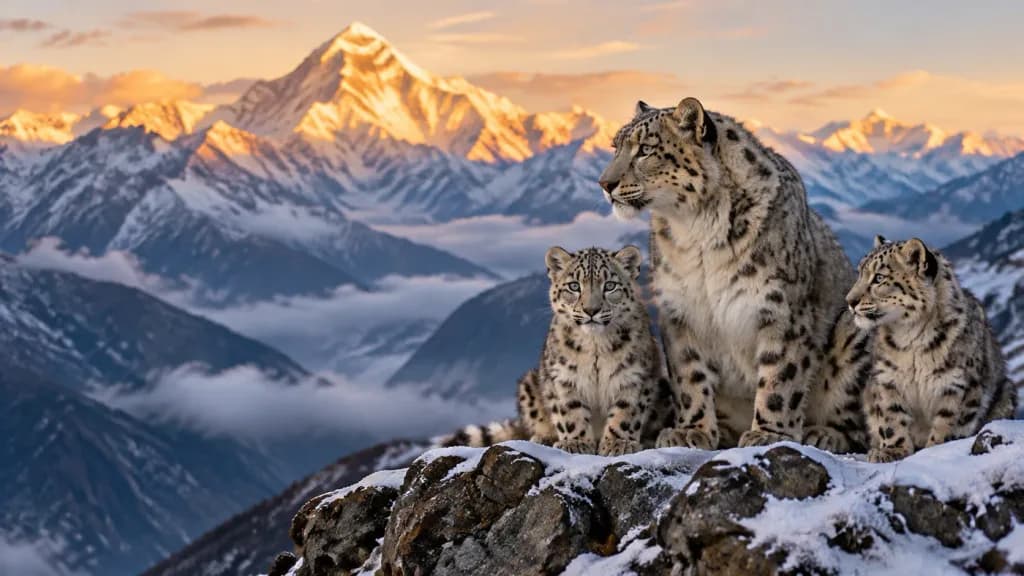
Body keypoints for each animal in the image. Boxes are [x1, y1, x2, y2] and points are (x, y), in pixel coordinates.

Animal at [598, 97, 870, 452]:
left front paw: (769, 433)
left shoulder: (783, 311)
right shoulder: (680, 311)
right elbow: (689, 375)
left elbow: (781, 376)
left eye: (645, 149)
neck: (697, 230)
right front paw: (691, 430)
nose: (605, 184)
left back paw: (823, 433)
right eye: (615, 147)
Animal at [847, 235, 1017, 462]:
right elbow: (892, 418)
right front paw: (892, 451)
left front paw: (935, 449)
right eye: (860, 273)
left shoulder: (958, 385)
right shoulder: (888, 380)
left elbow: (949, 422)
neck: (911, 339)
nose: (850, 301)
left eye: (879, 277)